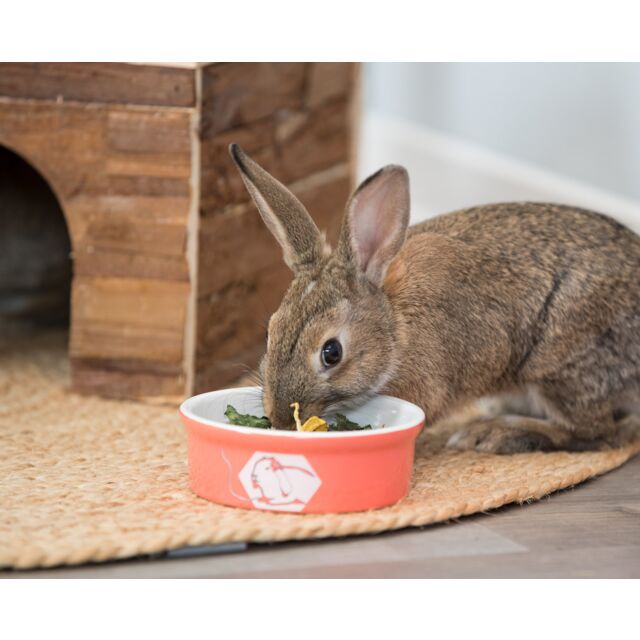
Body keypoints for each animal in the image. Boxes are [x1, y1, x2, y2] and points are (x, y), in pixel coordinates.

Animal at [229, 143, 640, 454]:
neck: (396, 330)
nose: (281, 419)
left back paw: (493, 434)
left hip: (561, 368)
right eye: (270, 332)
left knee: (599, 433)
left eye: (332, 353)